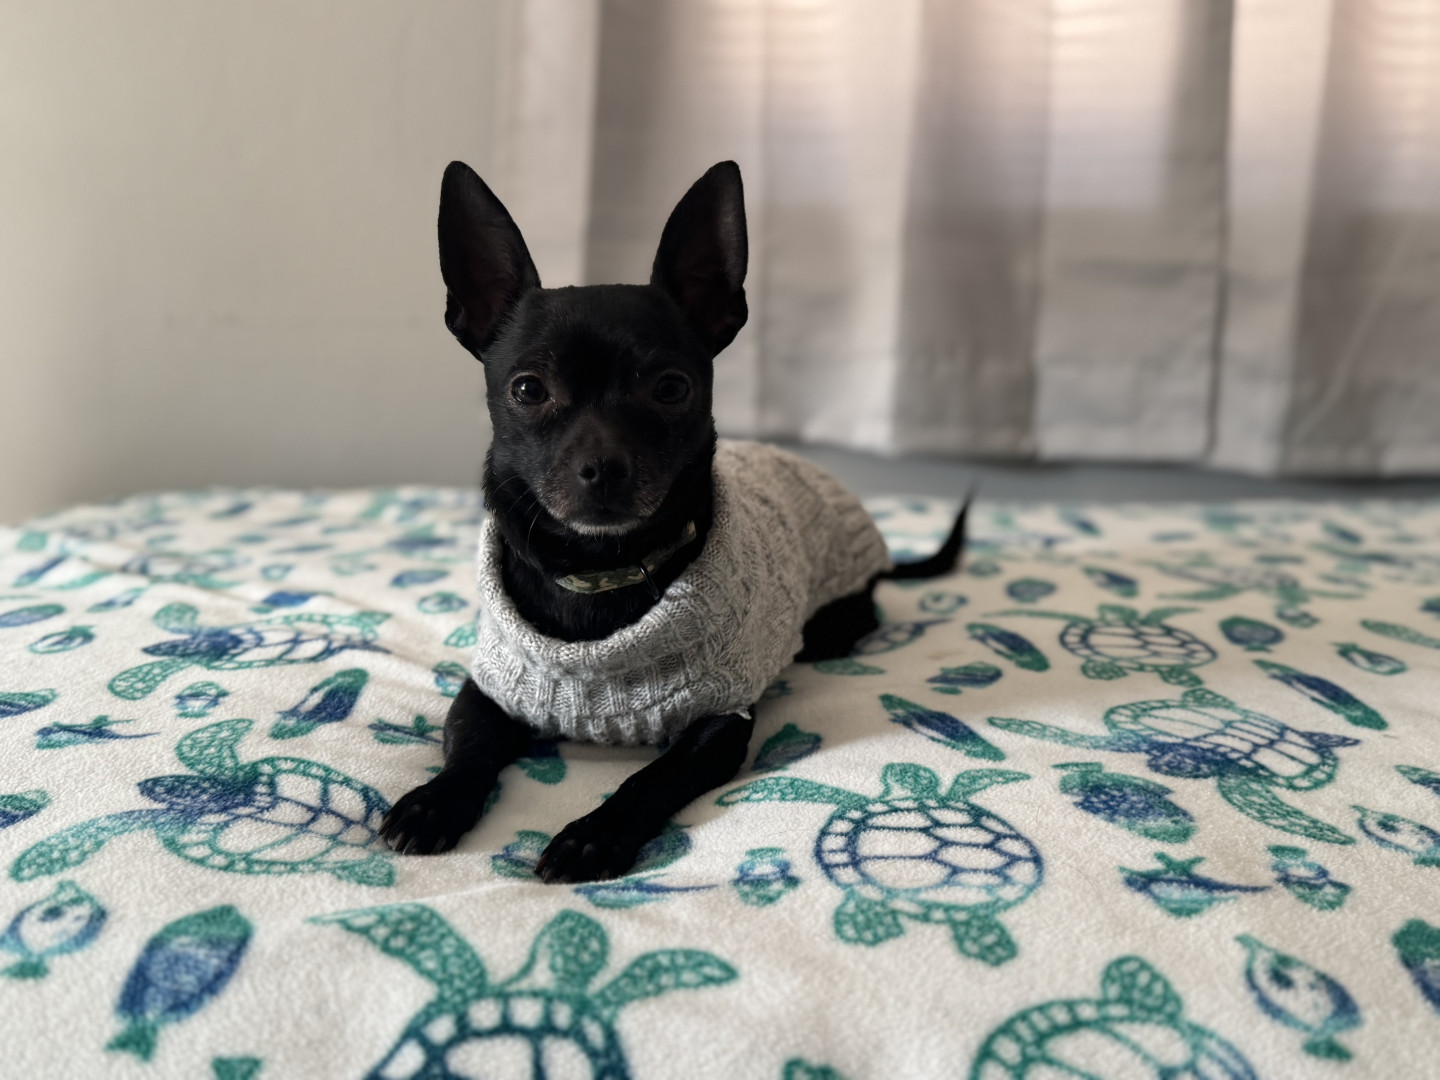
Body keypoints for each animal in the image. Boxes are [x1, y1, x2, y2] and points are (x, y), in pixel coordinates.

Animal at [378, 159, 966, 883]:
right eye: (527, 390)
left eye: (671, 388)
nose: (603, 467)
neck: (599, 572)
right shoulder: (491, 689)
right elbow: (467, 749)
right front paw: (434, 802)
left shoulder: (719, 722)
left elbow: (649, 779)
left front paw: (592, 834)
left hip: (834, 624)